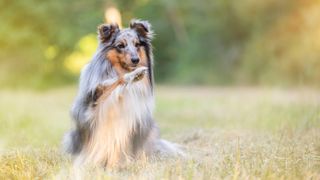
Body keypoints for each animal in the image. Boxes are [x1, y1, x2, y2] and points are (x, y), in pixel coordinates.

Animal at [62, 19, 182, 168]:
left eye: (137, 44)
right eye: (120, 46)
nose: (136, 60)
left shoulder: (134, 122)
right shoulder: (94, 102)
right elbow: (116, 81)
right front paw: (134, 75)